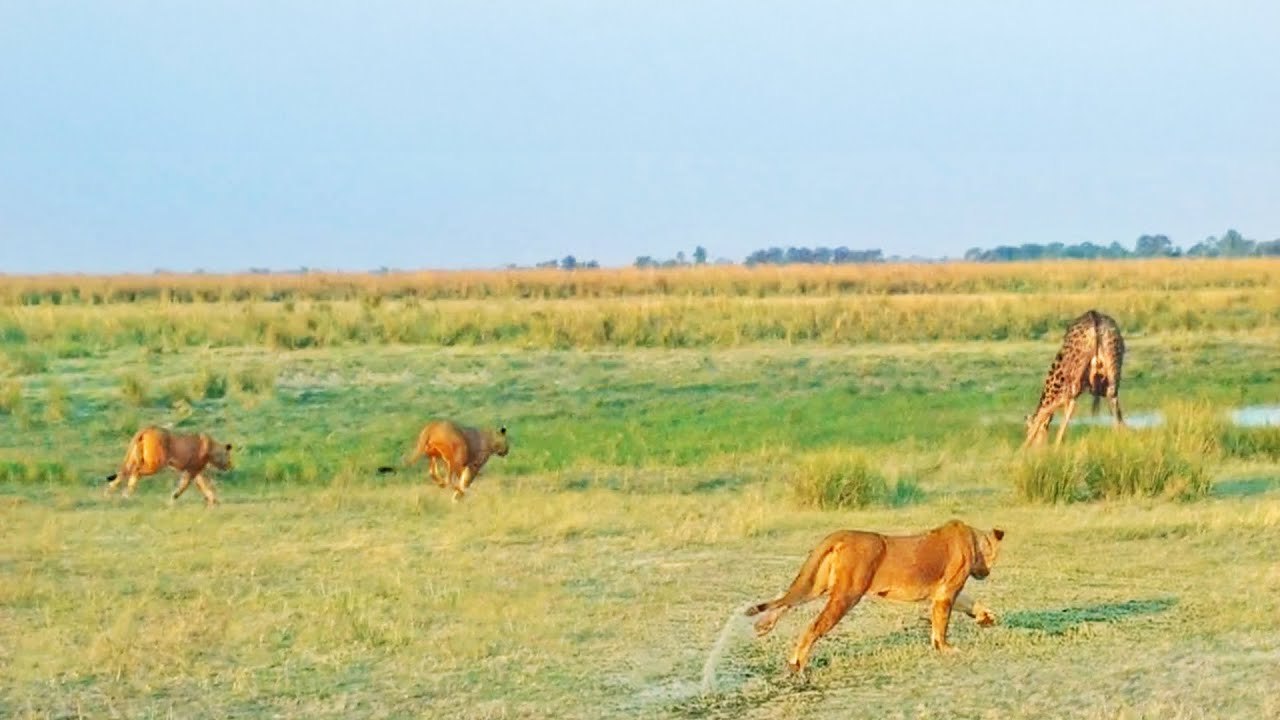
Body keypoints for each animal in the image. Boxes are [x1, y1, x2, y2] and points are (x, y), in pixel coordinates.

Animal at [104, 426, 234, 506]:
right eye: (229, 457)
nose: (230, 466)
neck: (212, 448)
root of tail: (148, 428)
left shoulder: (197, 472)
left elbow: (205, 486)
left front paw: (214, 501)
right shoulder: (192, 471)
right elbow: (184, 486)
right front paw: (172, 499)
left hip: (134, 460)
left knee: (122, 474)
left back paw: (110, 494)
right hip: (155, 464)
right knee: (136, 472)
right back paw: (126, 493)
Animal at [378, 420, 509, 501]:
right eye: (507, 442)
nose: (507, 451)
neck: (491, 438)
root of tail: (432, 426)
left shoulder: (466, 465)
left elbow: (464, 479)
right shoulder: (474, 465)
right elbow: (466, 480)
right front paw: (458, 496)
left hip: (434, 455)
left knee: (433, 473)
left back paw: (442, 485)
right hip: (455, 457)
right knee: (448, 480)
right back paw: (459, 492)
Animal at [746, 519, 1005, 671]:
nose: (987, 573)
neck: (974, 541)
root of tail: (840, 534)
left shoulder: (943, 591)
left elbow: (970, 603)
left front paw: (987, 618)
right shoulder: (946, 591)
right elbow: (941, 624)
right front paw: (945, 648)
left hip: (816, 584)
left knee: (787, 600)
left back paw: (763, 626)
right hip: (847, 594)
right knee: (812, 626)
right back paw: (795, 664)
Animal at [1023, 309, 1126, 447]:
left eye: (1027, 430)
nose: (1039, 448)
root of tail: (1095, 319)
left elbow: (1048, 412)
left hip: (1075, 377)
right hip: (1113, 369)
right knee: (1114, 399)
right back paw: (1120, 438)